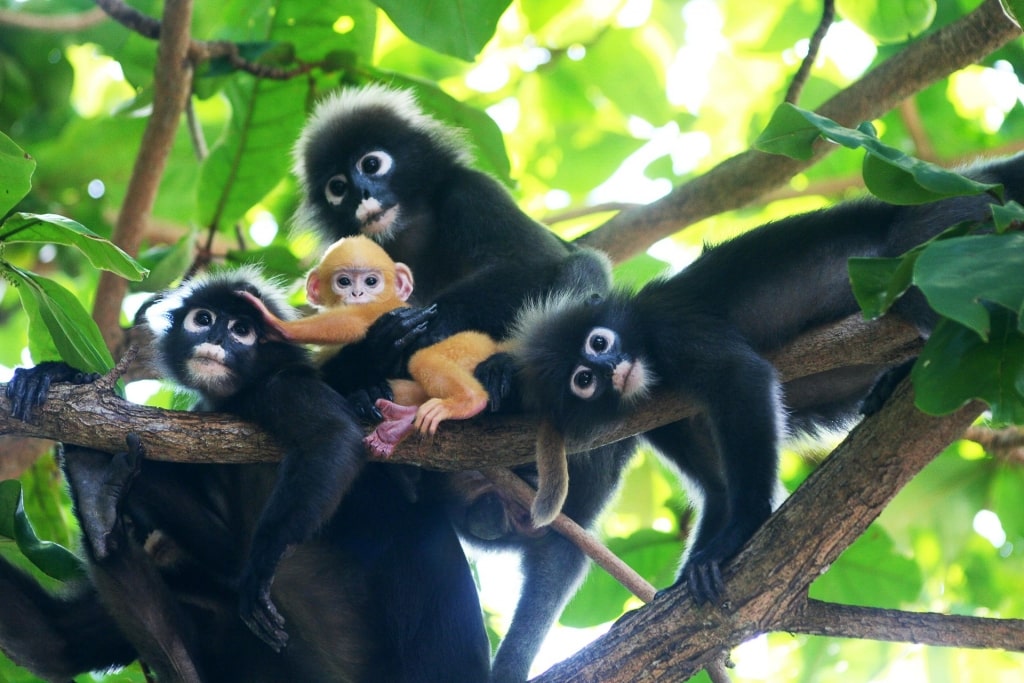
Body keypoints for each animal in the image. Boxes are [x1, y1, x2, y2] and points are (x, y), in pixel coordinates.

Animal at [0, 266, 489, 683]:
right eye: (203, 319)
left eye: (241, 330)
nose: (216, 337)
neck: (233, 400)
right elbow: (54, 641)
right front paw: (59, 376)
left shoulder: (277, 388)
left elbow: (329, 439)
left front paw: (262, 565)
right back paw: (98, 504)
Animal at [243, 236, 499, 458]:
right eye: (344, 281)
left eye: (371, 281)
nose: (357, 293)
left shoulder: (378, 308)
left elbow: (351, 321)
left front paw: (278, 325)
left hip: (468, 346)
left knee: (423, 360)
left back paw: (471, 400)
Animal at [292, 85, 630, 683]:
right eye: (336, 186)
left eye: (371, 165)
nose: (360, 193)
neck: (410, 230)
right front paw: (370, 358)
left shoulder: (473, 193)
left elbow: (533, 265)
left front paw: (418, 327)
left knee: (580, 270)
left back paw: (500, 384)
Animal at [516, 152, 1024, 606]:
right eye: (584, 380)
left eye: (598, 343)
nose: (613, 368)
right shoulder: (658, 421)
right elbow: (719, 488)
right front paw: (691, 573)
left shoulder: (672, 323)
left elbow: (742, 377)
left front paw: (741, 529)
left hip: (947, 230)